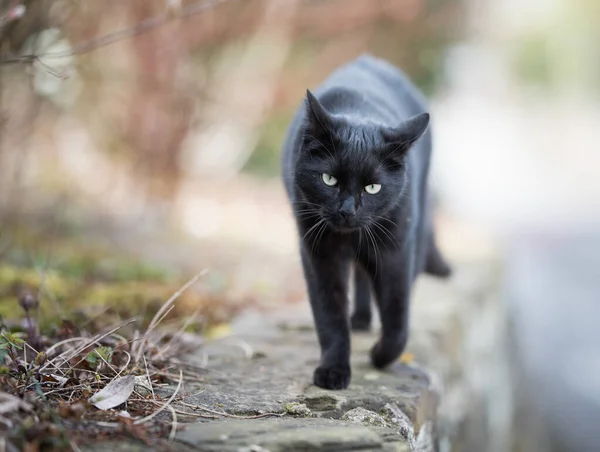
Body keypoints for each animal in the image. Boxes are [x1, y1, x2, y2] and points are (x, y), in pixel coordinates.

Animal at [282, 54, 450, 390]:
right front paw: (333, 371)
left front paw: (379, 355)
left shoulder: (396, 251)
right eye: (329, 179)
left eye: (373, 187)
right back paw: (359, 319)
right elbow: (329, 315)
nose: (347, 210)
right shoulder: (319, 253)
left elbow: (398, 319)